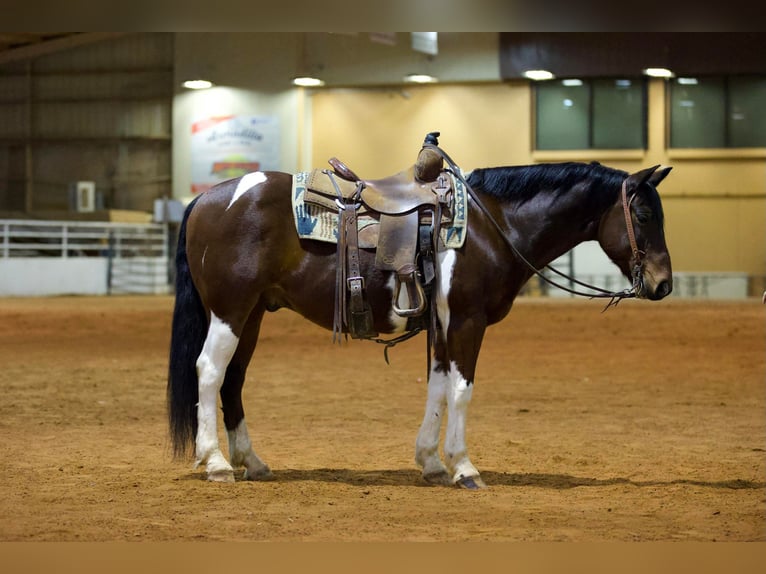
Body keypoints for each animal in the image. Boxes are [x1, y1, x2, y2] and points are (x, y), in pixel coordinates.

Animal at [166, 153, 672, 490]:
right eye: (644, 214)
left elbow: (437, 387)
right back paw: (216, 464)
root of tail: (206, 200)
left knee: (233, 380)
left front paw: (431, 462)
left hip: (251, 314)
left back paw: (251, 461)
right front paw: (464, 468)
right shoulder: (467, 320)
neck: (492, 226)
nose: (664, 283)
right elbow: (461, 390)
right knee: (210, 372)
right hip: (230, 311)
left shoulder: (442, 325)